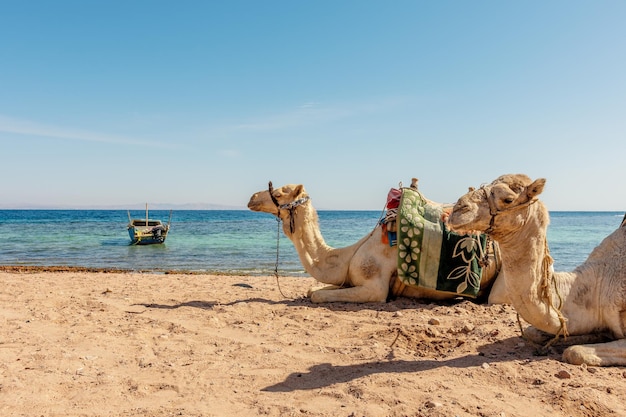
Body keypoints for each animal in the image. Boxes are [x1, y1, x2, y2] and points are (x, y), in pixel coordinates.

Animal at [246, 181, 500, 302]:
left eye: (279, 193)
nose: (252, 198)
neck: (349, 254)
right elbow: (312, 290)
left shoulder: (374, 287)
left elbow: (317, 296)